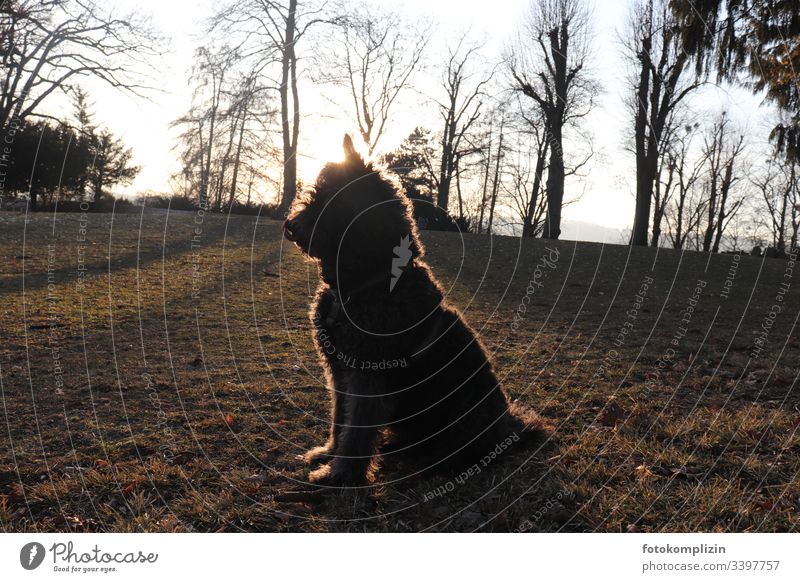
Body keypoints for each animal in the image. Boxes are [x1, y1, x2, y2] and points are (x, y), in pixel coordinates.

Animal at [282, 137, 552, 488]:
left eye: (329, 197)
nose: (289, 226)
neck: (369, 279)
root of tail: (511, 430)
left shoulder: (368, 376)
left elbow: (356, 430)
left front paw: (341, 474)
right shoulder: (339, 370)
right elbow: (340, 418)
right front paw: (329, 453)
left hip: (464, 408)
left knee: (465, 449)